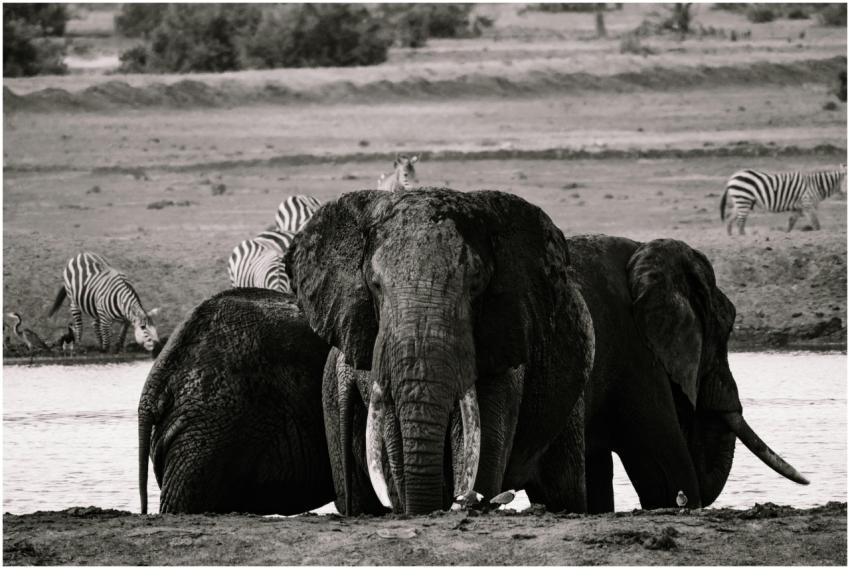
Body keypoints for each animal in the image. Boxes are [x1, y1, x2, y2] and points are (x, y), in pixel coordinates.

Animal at [285, 188, 595, 515]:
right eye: (376, 285)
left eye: (475, 286)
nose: (459, 500)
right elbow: (395, 438)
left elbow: (482, 439)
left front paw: (469, 499)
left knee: (564, 488)